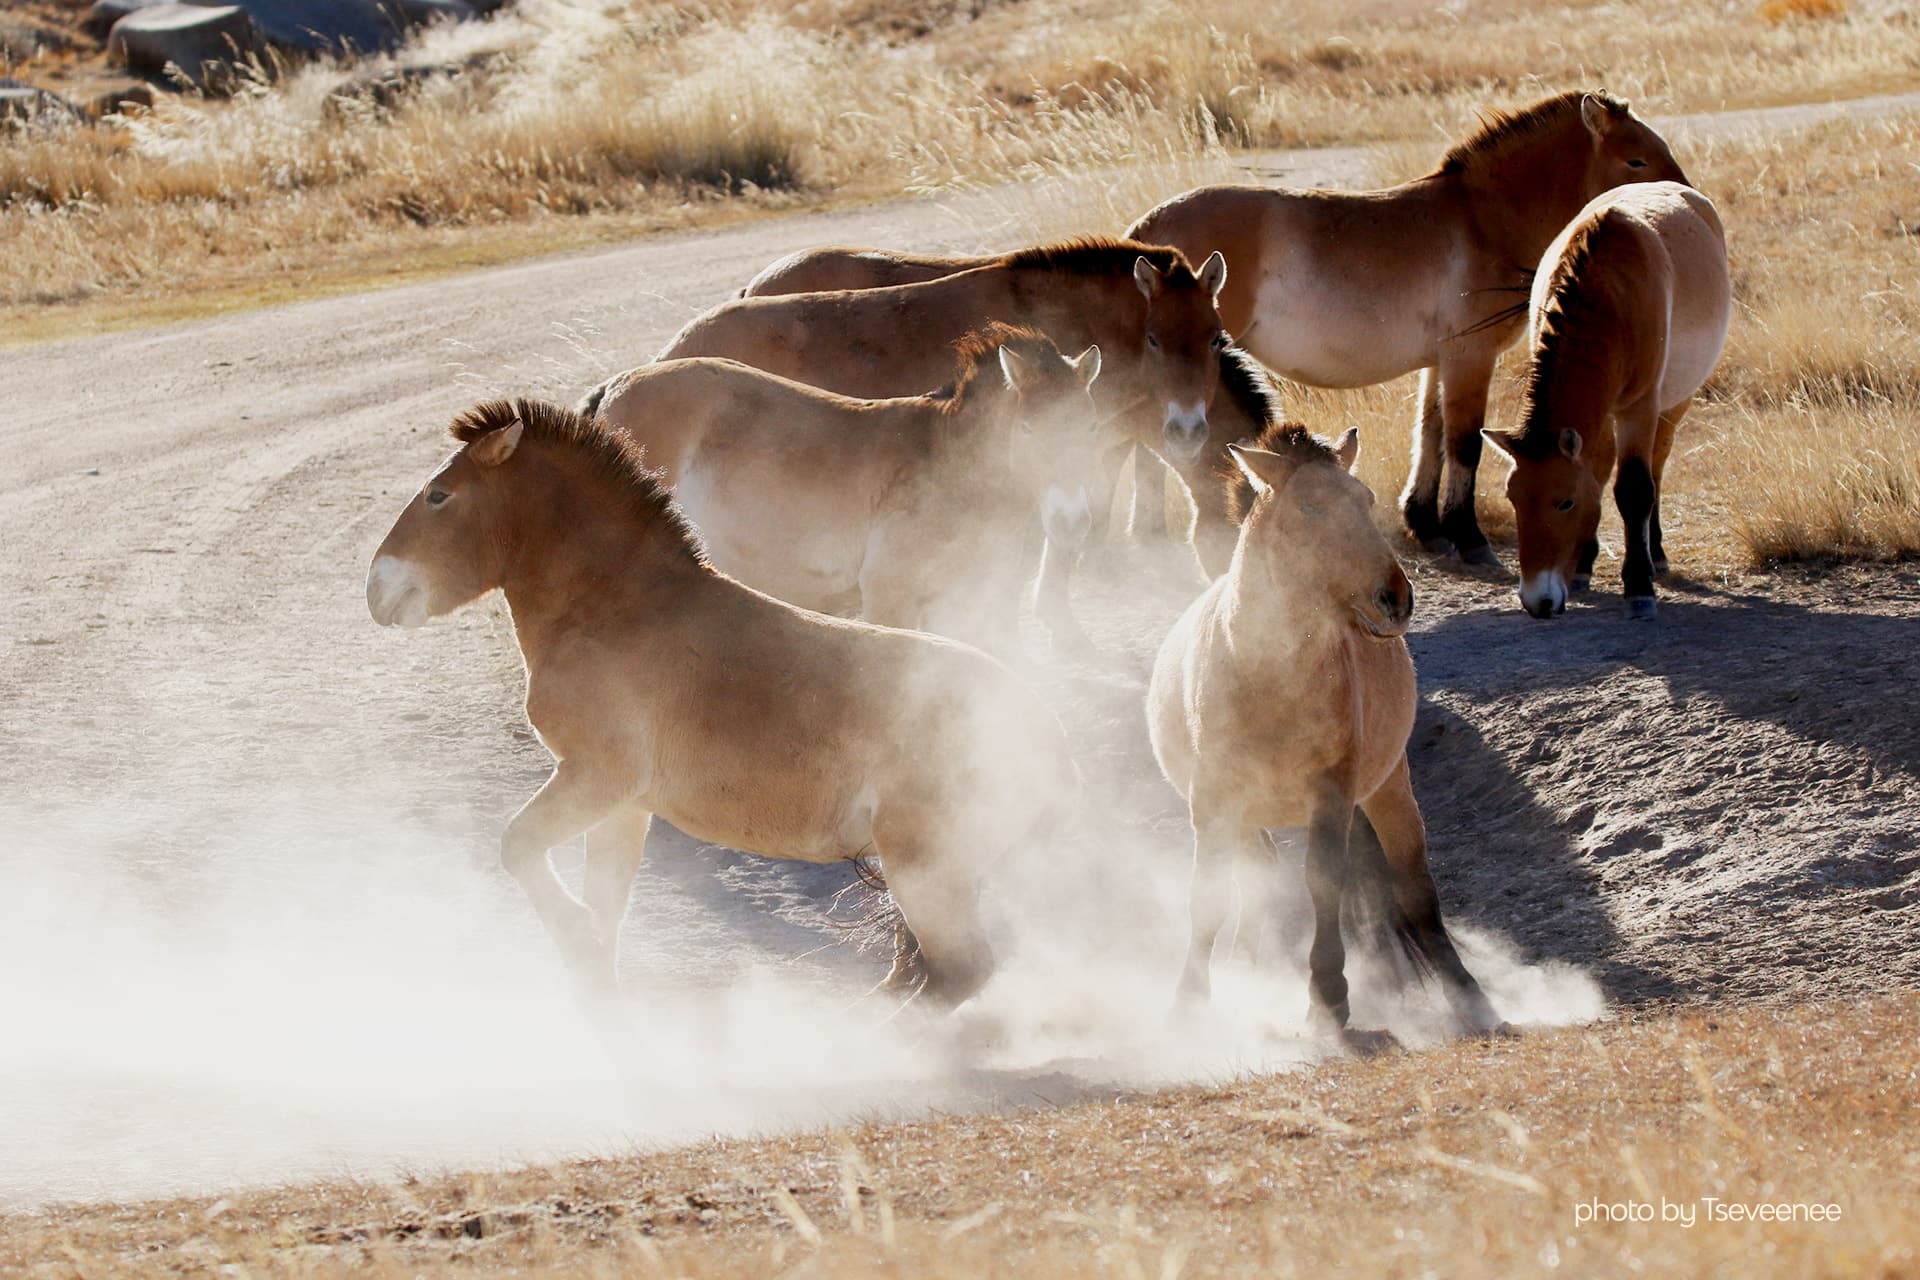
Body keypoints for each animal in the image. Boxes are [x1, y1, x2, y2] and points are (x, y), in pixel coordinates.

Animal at [365, 399, 1081, 1007]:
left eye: (439, 495)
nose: (377, 588)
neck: (613, 612)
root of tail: (1048, 736)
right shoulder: (622, 803)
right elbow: (606, 908)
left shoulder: (596, 778)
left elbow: (517, 848)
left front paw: (572, 937)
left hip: (925, 871)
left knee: (958, 973)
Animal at [579, 325, 1104, 655]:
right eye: (1030, 429)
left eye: (1089, 425)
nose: (1072, 522)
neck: (950, 462)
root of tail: (615, 387)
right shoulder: (889, 599)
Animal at [1126, 91, 1689, 564]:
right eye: (1636, 160)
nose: (1678, 197)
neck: (1483, 222)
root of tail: (1145, 233)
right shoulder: (1469, 356)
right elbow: (1464, 443)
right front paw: (1469, 537)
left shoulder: (1440, 362)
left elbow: (1431, 433)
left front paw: (1426, 525)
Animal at [1146, 422, 1505, 1051]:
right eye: (1311, 506)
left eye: (1365, 499)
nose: (1396, 597)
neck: (1266, 677)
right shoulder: (1214, 800)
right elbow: (1208, 896)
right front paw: (1189, 1004)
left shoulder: (1332, 793)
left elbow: (1324, 881)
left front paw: (1327, 1000)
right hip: (1248, 817)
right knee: (1255, 880)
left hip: (1390, 792)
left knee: (1416, 892)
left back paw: (1467, 994)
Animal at [1483, 182, 1730, 619]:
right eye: (1513, 497)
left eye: (1564, 503)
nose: (1537, 602)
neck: (1609, 296)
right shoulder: (1595, 418)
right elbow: (1597, 478)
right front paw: (1583, 567)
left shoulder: (1639, 408)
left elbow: (1634, 488)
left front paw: (1639, 588)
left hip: (1673, 403)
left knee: (1657, 467)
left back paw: (1656, 553)